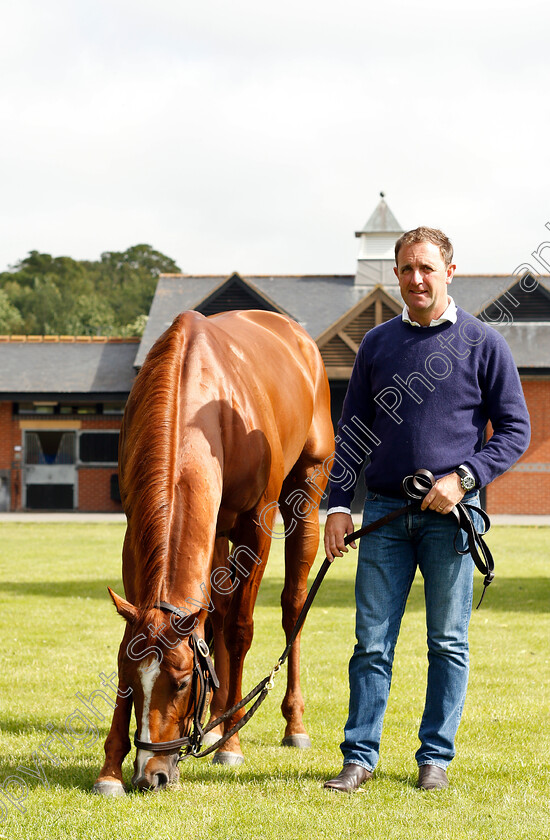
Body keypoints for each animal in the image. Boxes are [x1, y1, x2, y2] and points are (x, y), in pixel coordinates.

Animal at [93, 308, 334, 796]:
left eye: (183, 682)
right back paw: (221, 719)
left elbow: (241, 628)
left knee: (292, 608)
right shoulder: (135, 531)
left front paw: (232, 747)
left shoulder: (254, 525)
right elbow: (149, 635)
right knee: (216, 612)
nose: (151, 774)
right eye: (130, 679)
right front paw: (110, 768)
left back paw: (289, 725)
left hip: (306, 492)